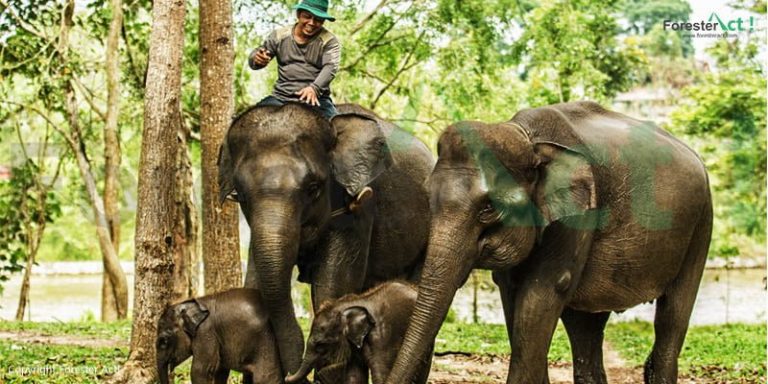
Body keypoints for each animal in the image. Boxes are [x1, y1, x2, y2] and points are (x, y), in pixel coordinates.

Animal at [218, 102, 432, 376]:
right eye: (241, 195)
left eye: (313, 188)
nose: (293, 372)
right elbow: (255, 284)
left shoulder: (358, 209)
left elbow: (330, 288)